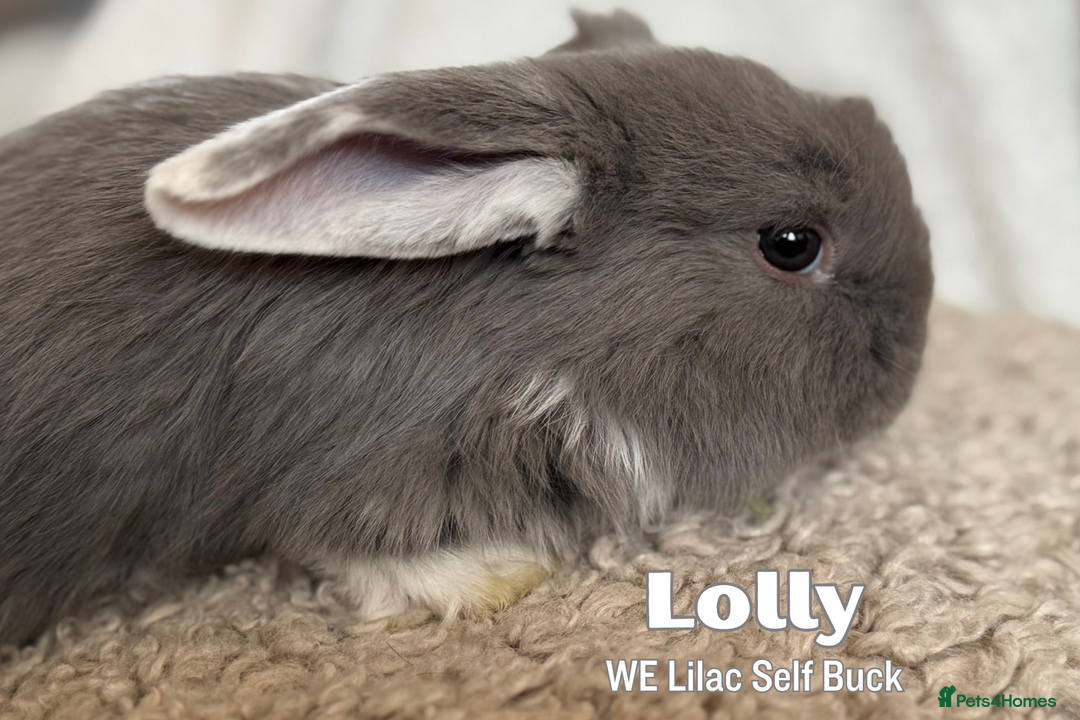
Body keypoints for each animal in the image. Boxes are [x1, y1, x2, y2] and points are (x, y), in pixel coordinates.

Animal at [0, 9, 933, 648]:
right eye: (791, 246)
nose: (910, 368)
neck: (530, 332)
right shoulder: (343, 470)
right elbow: (345, 548)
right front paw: (492, 575)